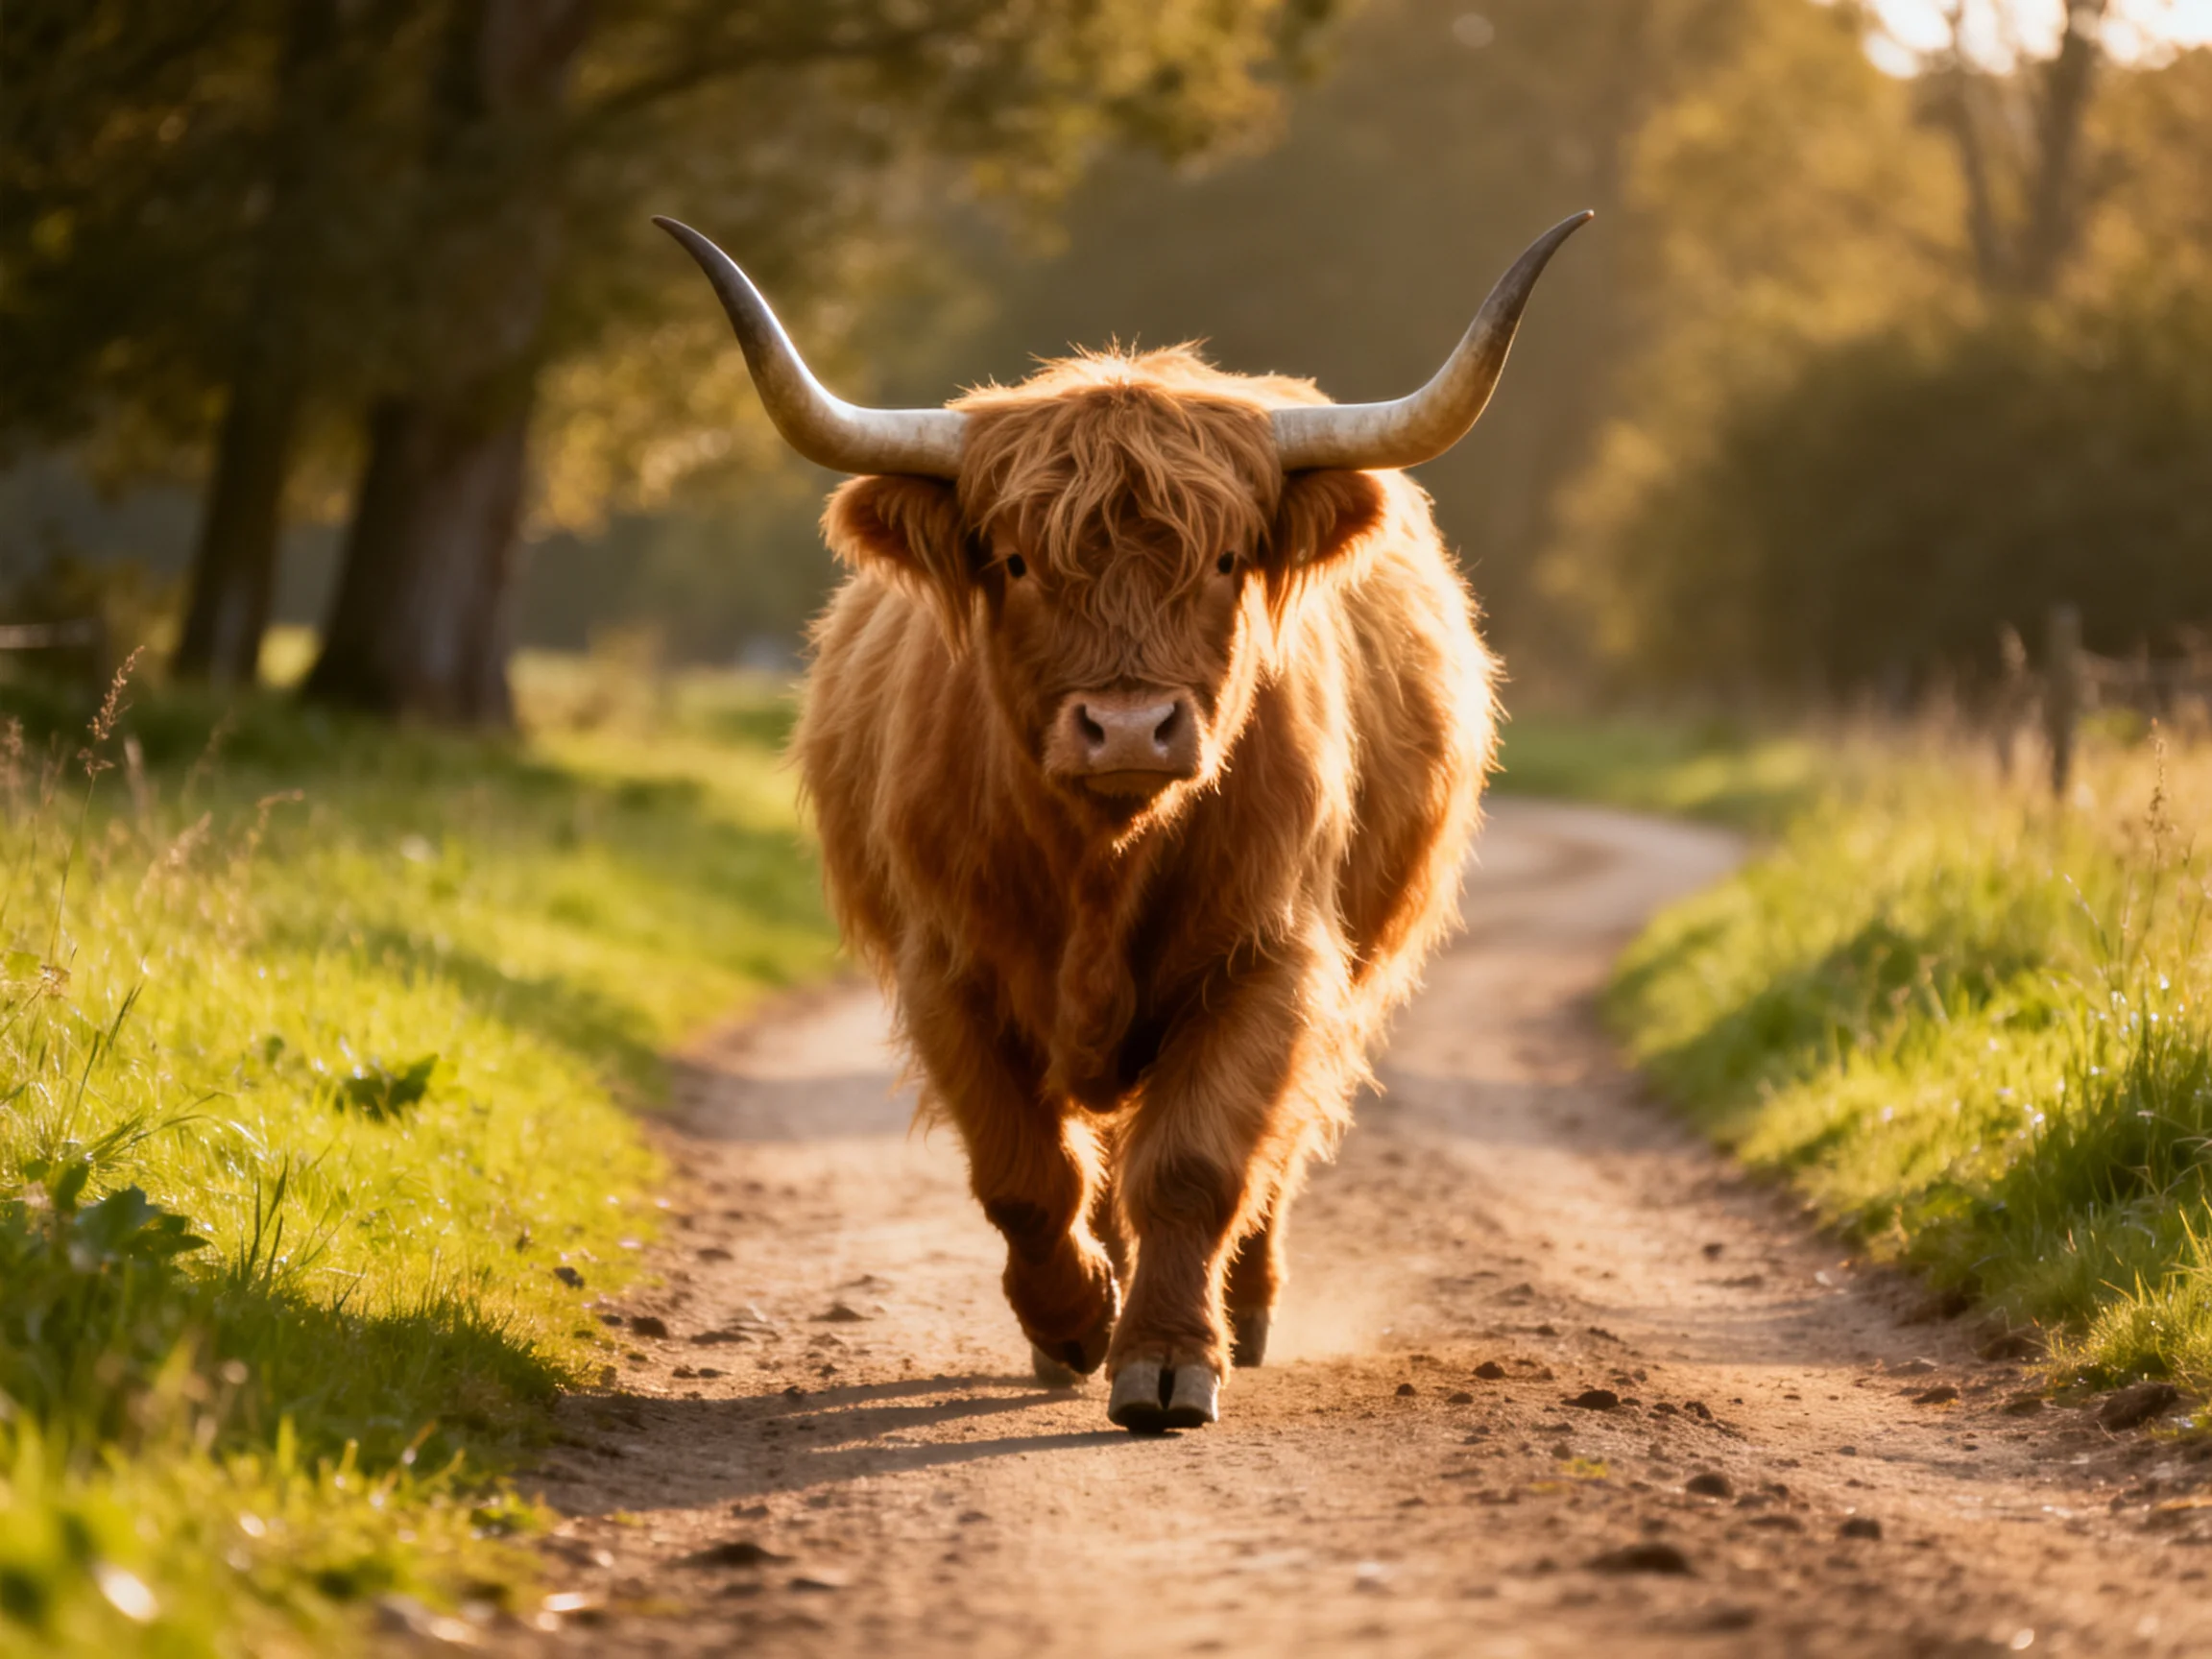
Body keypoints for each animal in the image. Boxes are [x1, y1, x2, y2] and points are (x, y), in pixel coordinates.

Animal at [658, 210, 1589, 1433]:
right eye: (1015, 561)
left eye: (1228, 559)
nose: (1132, 727)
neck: (1102, 864)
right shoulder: (949, 970)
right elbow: (1024, 1173)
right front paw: (1071, 1321)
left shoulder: (1271, 960)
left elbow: (1195, 1166)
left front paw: (1167, 1359)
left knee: (1264, 1152)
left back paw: (1244, 1310)